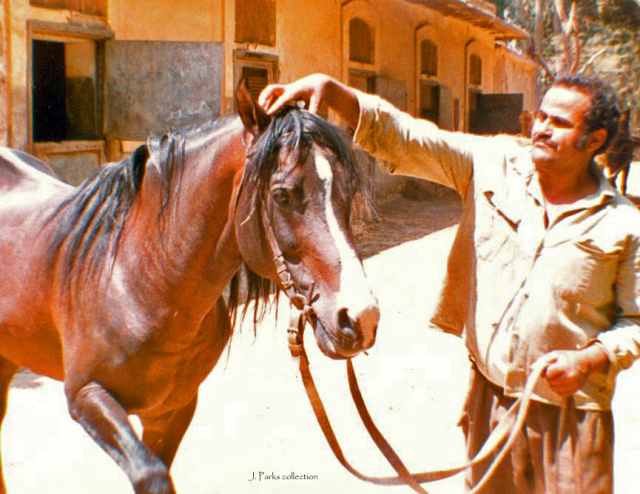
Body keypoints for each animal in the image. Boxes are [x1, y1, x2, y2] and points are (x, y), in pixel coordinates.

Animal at [0, 83, 380, 492]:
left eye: (348, 192)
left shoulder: (173, 409)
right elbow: (151, 474)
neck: (140, 280)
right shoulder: (86, 395)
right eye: (282, 195)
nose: (361, 319)